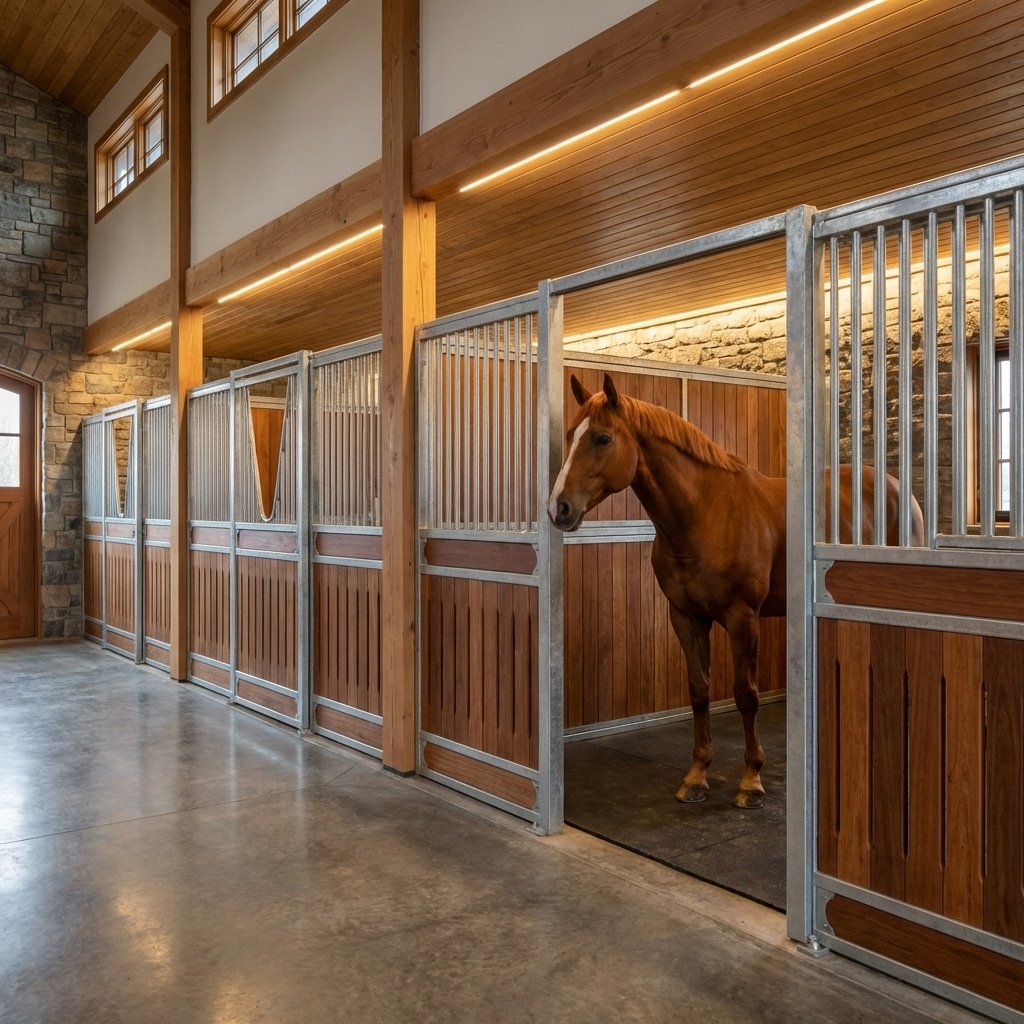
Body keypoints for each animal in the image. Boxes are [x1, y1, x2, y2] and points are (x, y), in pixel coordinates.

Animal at [548, 372, 923, 809]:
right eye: (571, 434)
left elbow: (746, 695)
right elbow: (699, 691)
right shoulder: (686, 616)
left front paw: (751, 781)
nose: (558, 509)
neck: (705, 513)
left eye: (603, 438)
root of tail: (896, 487)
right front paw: (696, 776)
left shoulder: (742, 617)